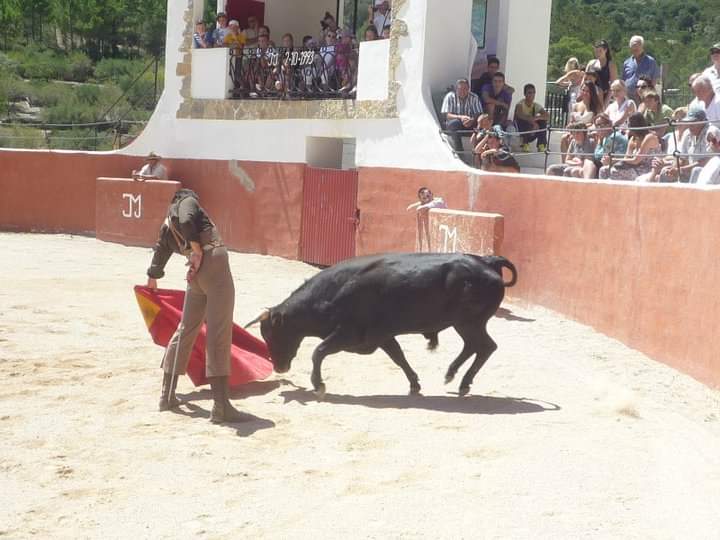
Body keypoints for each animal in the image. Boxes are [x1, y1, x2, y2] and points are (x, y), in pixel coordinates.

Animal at [248, 253, 516, 396]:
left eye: (271, 335)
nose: (279, 367)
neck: (331, 295)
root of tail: (488, 261)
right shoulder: (383, 336)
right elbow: (399, 357)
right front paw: (414, 384)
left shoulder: (350, 334)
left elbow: (318, 351)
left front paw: (319, 385)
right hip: (467, 324)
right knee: (476, 347)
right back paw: (453, 377)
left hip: (470, 322)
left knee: (484, 347)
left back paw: (460, 381)